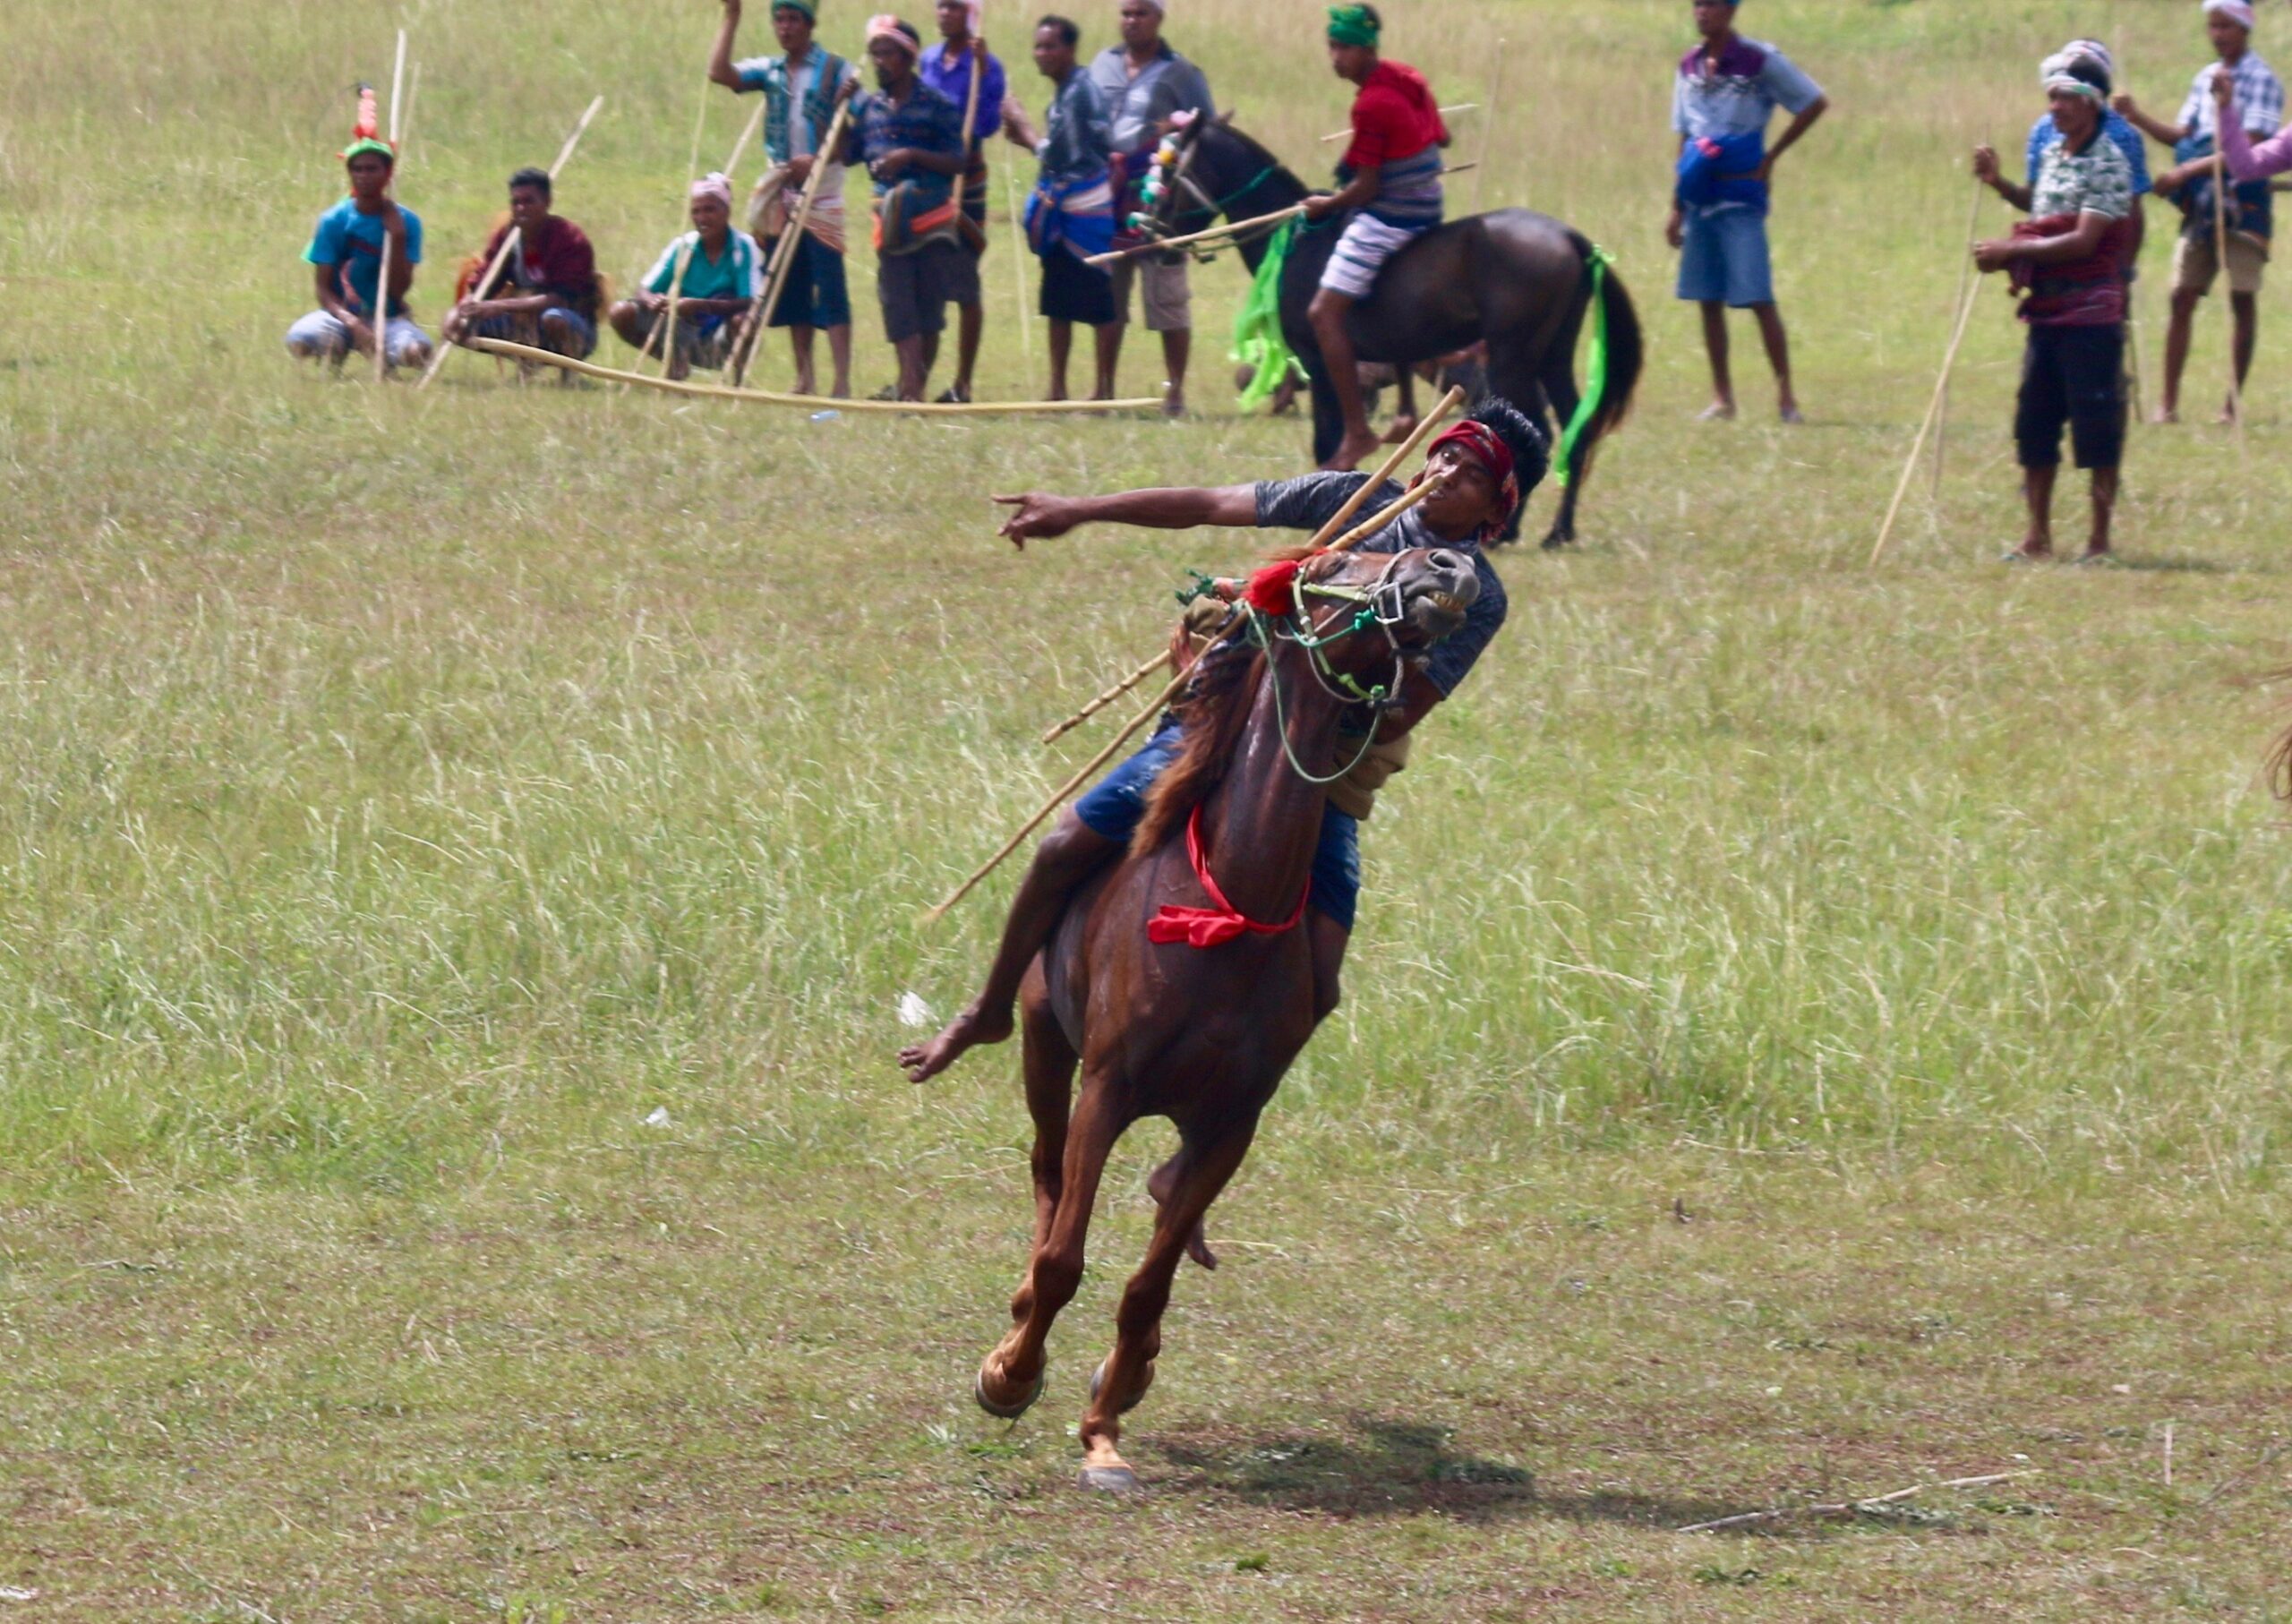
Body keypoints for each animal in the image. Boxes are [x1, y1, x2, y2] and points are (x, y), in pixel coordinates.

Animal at [971, 538, 1484, 1483]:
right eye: (1344, 561)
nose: (1445, 563)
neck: (1228, 906)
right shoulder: (1107, 1088)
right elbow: (1065, 1257)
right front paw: (1011, 1375)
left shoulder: (1232, 1121)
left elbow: (1148, 1284)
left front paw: (1103, 1424)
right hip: (1043, 1044)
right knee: (1047, 1175)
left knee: (1158, 1206)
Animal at [1136, 120, 1640, 547]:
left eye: (1169, 172)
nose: (1150, 235)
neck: (1304, 241)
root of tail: (1570, 237)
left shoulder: (1317, 356)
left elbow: (1329, 434)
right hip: (1552, 353)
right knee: (1576, 427)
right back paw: (1559, 531)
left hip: (1512, 356)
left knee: (1537, 431)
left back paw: (1511, 529)